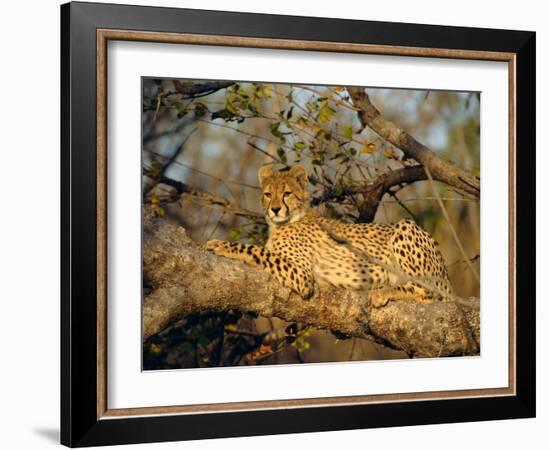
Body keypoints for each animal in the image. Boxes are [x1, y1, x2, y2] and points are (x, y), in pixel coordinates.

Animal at [205, 163, 454, 308]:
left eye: (287, 194)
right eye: (268, 194)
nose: (275, 209)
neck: (287, 221)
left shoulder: (303, 276)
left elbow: (256, 250)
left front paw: (221, 245)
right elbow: (261, 250)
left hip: (404, 227)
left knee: (427, 291)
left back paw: (382, 292)